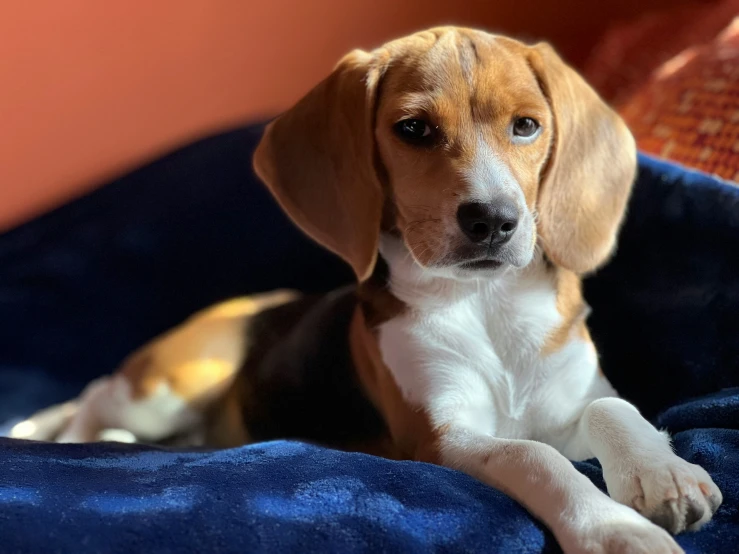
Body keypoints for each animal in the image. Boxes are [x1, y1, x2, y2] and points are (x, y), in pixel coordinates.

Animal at [14, 28, 724, 552]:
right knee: (94, 394)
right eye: (414, 130)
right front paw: (615, 529)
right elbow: (534, 456)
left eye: (526, 126)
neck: (486, 305)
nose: (494, 220)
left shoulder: (572, 400)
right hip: (173, 384)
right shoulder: (440, 438)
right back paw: (78, 436)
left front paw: (660, 474)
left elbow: (612, 409)